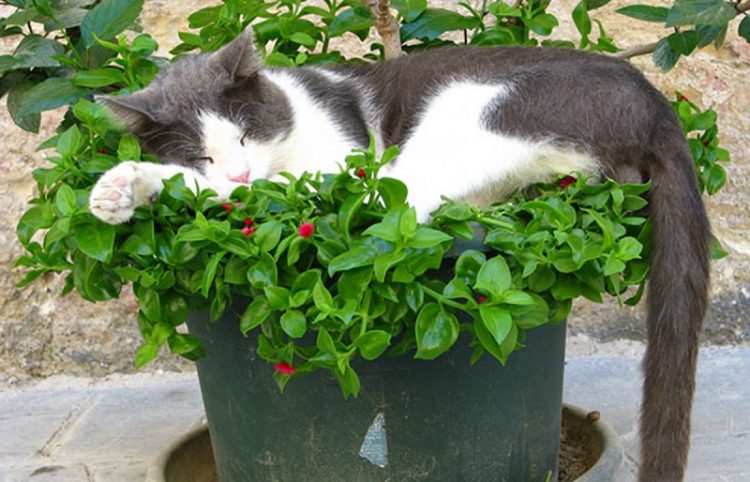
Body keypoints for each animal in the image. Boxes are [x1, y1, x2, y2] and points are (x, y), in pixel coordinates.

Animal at [89, 31, 712, 482]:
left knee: (398, 201)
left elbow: (264, 196)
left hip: (471, 122)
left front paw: (132, 181)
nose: (239, 173)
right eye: (201, 154)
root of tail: (656, 105)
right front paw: (123, 191)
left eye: (245, 136)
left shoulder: (331, 169)